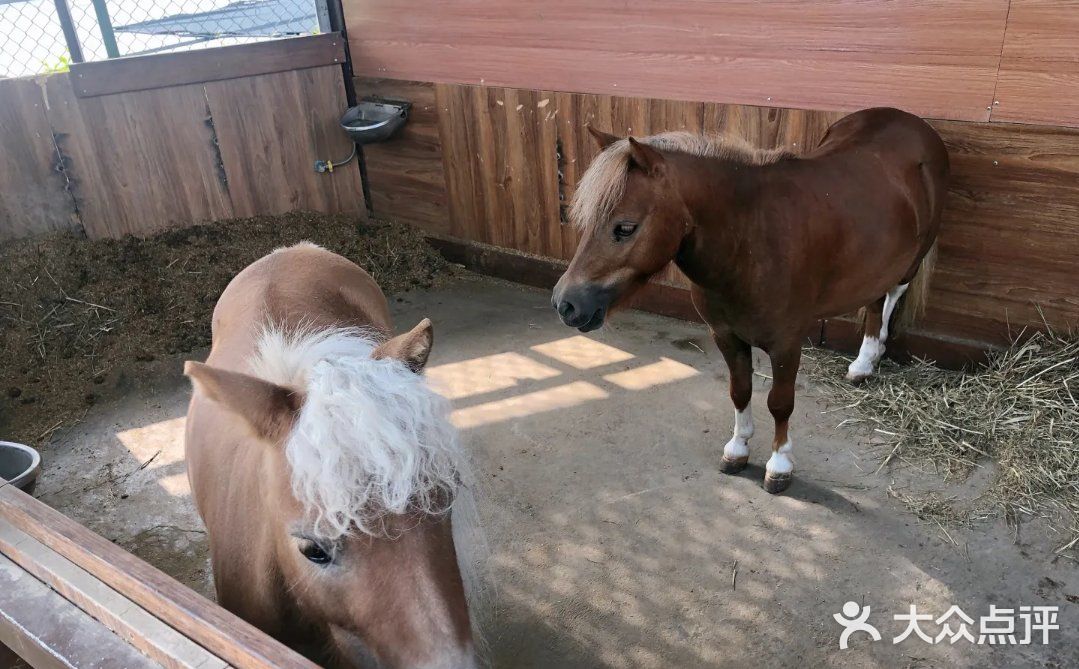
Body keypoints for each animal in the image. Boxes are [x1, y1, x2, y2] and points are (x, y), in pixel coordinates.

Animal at [552, 107, 948, 494]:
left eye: (625, 228)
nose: (565, 304)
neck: (751, 239)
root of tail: (913, 123)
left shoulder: (786, 344)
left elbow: (780, 403)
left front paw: (780, 464)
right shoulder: (726, 336)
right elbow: (740, 391)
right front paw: (738, 449)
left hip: (910, 261)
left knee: (892, 293)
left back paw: (869, 357)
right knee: (875, 298)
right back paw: (865, 362)